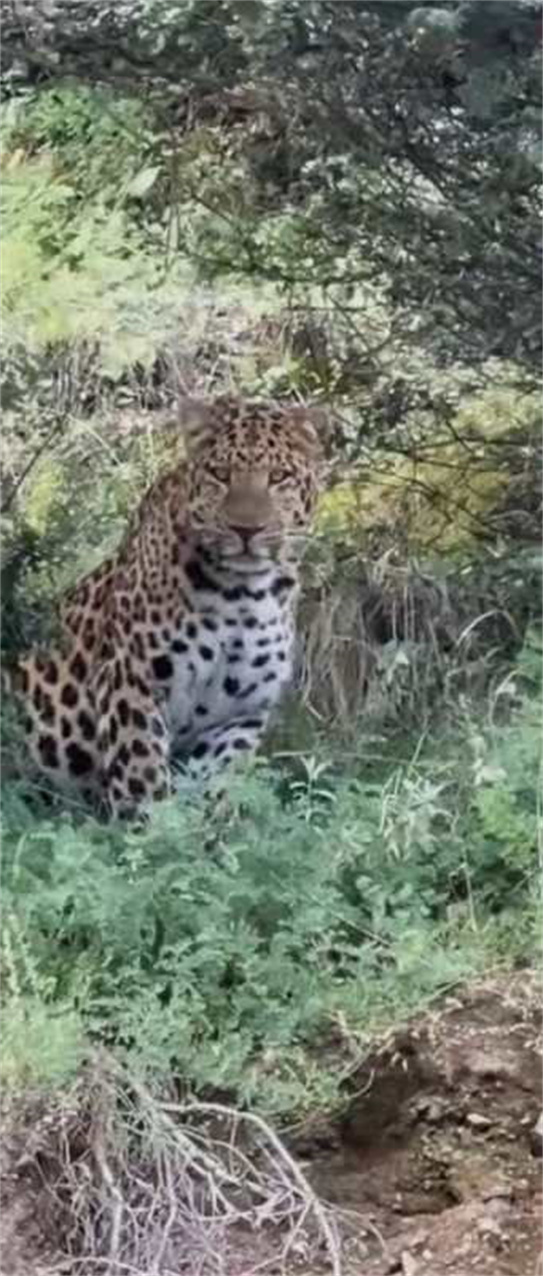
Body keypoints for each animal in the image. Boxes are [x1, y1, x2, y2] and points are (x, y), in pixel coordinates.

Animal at [4, 396, 326, 819]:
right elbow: (142, 776)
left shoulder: (241, 714)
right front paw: (149, 828)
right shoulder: (131, 680)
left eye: (278, 476)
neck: (244, 596)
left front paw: (205, 832)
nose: (246, 529)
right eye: (221, 474)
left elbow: (214, 784)